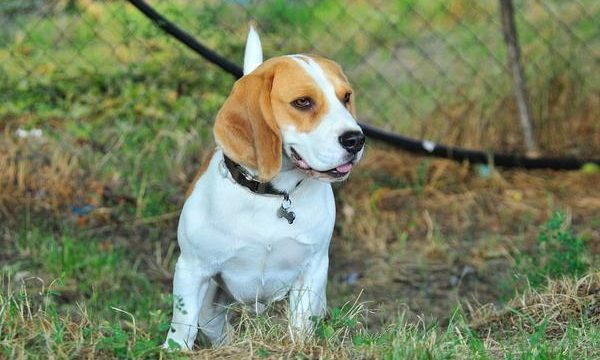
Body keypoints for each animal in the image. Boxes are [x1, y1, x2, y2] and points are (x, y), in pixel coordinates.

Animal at [162, 28, 364, 352]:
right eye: (303, 102)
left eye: (345, 97)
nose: (356, 139)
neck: (271, 196)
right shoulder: (192, 270)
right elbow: (182, 327)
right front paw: (173, 351)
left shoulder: (312, 270)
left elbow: (300, 326)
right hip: (209, 306)